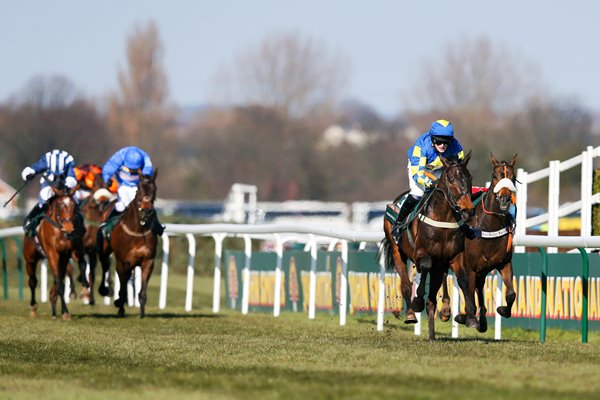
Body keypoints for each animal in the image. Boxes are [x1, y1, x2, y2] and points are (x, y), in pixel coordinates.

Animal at [22, 186, 88, 320]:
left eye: (74, 205)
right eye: (59, 205)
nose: (68, 227)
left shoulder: (73, 250)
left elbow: (82, 264)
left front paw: (84, 292)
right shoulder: (52, 253)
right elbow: (59, 283)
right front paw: (65, 312)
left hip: (62, 259)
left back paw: (53, 308)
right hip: (30, 259)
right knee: (33, 281)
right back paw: (34, 308)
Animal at [98, 170, 161, 318]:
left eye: (154, 189)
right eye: (139, 189)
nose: (146, 212)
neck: (138, 230)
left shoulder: (148, 261)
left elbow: (142, 291)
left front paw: (142, 313)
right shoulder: (122, 262)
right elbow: (122, 288)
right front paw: (119, 305)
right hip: (105, 250)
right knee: (105, 264)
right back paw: (105, 290)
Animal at [380, 152, 478, 340]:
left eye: (469, 178)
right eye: (451, 179)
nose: (467, 209)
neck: (443, 219)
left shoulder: (453, 257)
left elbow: (463, 279)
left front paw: (470, 317)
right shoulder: (421, 253)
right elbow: (424, 267)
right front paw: (418, 301)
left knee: (434, 290)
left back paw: (436, 326)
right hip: (397, 250)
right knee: (406, 283)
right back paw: (411, 313)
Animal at [454, 152, 516, 332]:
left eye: (513, 177)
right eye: (495, 176)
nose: (504, 198)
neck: (489, 226)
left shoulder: (503, 263)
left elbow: (511, 294)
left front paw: (503, 310)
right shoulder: (470, 267)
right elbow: (469, 295)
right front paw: (465, 317)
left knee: (479, 288)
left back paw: (482, 320)